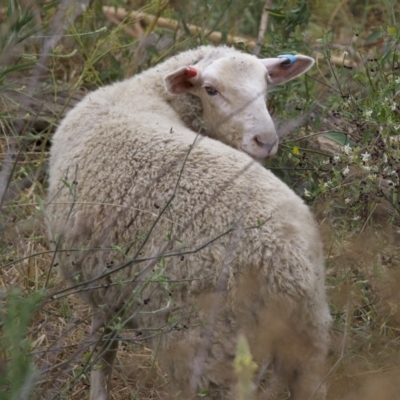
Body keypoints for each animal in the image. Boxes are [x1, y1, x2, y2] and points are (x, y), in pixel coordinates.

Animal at [46, 44, 332, 400]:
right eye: (210, 89)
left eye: (266, 85)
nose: (265, 140)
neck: (146, 92)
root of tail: (286, 266)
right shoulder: (106, 283)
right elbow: (104, 348)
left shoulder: (101, 281)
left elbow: (102, 350)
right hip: (309, 340)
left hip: (206, 345)